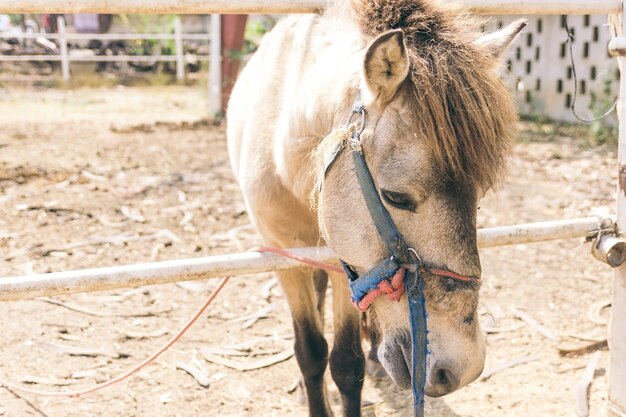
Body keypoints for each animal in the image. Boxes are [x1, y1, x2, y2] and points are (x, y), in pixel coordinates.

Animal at [227, 1, 524, 414]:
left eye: (478, 197)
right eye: (396, 197)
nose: (463, 366)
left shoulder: (346, 265)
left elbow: (346, 364)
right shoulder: (283, 255)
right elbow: (311, 352)